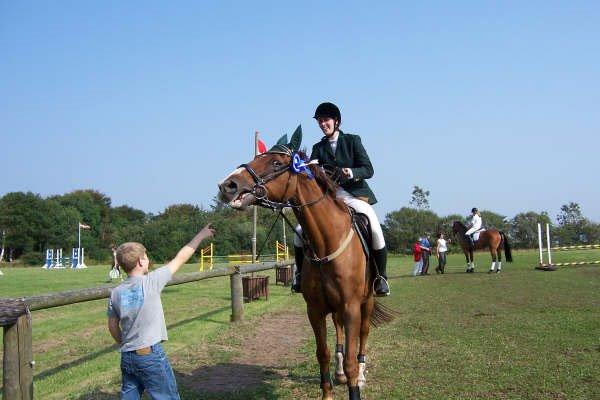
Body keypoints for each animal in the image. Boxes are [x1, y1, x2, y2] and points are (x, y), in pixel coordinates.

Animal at [219, 134, 394, 396]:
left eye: (276, 164)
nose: (227, 186)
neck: (326, 243)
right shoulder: (315, 309)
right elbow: (323, 354)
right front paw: (329, 391)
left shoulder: (351, 306)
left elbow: (352, 359)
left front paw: (355, 379)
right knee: (339, 330)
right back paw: (339, 373)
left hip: (367, 301)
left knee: (363, 334)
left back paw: (361, 374)